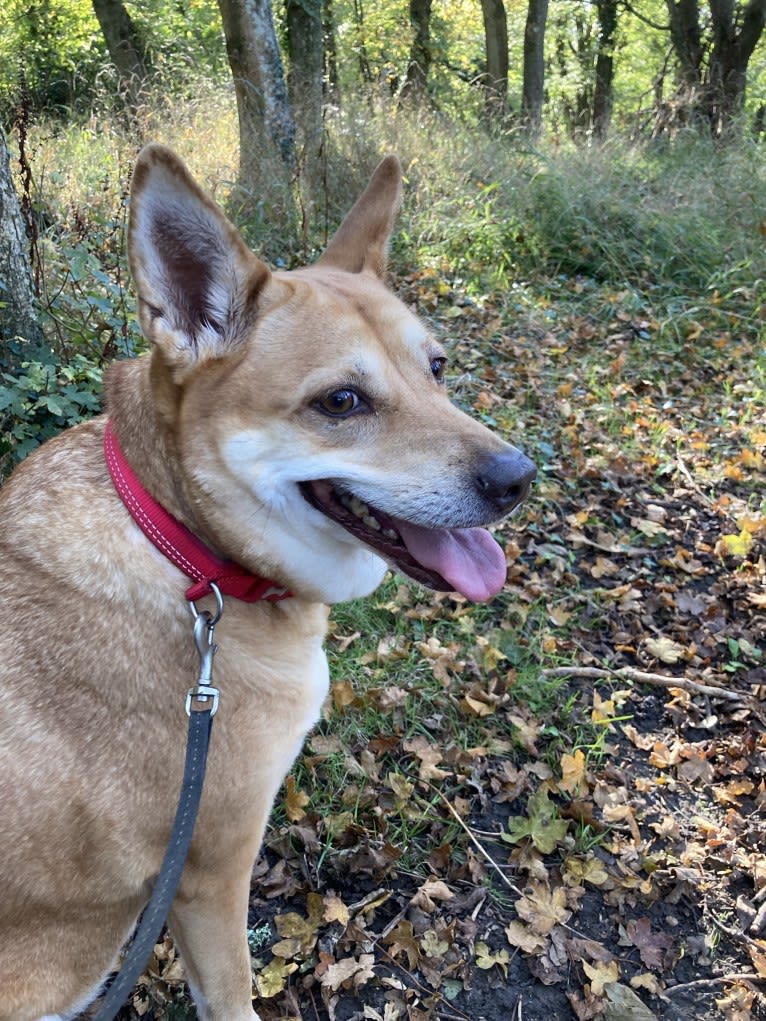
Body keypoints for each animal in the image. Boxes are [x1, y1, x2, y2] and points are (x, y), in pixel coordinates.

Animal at [0, 146, 535, 1021]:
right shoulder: (209, 872)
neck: (190, 552)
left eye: (438, 368)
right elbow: (232, 994)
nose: (518, 477)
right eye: (341, 401)